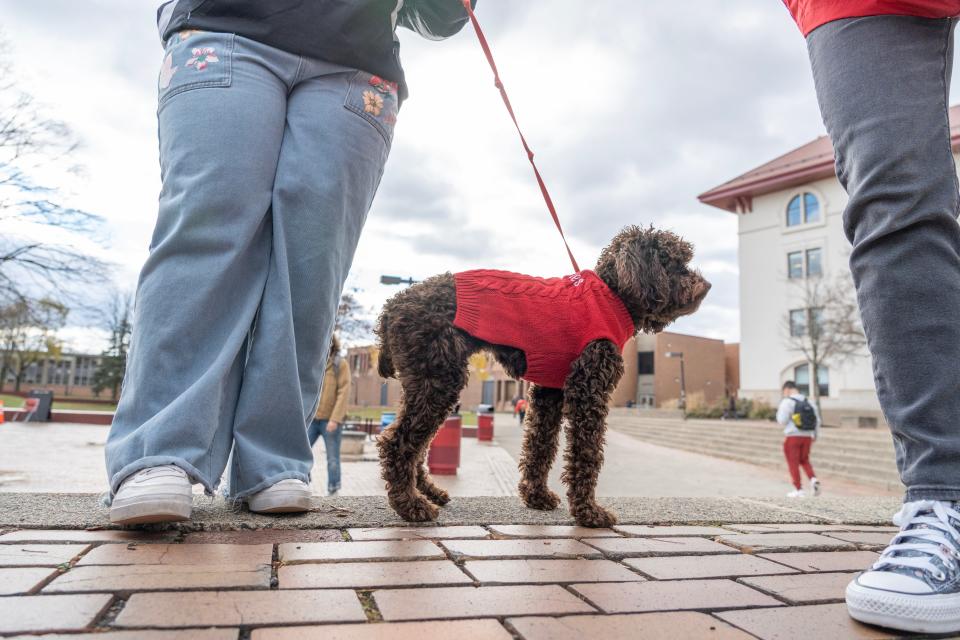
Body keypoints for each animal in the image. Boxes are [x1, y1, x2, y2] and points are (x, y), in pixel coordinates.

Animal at [376, 228, 712, 528]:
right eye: (674, 262)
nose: (707, 285)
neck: (611, 296)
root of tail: (392, 306)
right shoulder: (588, 391)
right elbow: (586, 453)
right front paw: (589, 513)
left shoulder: (549, 392)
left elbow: (540, 445)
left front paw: (536, 497)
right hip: (438, 380)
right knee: (398, 442)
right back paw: (412, 506)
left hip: (425, 384)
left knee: (418, 445)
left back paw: (429, 493)